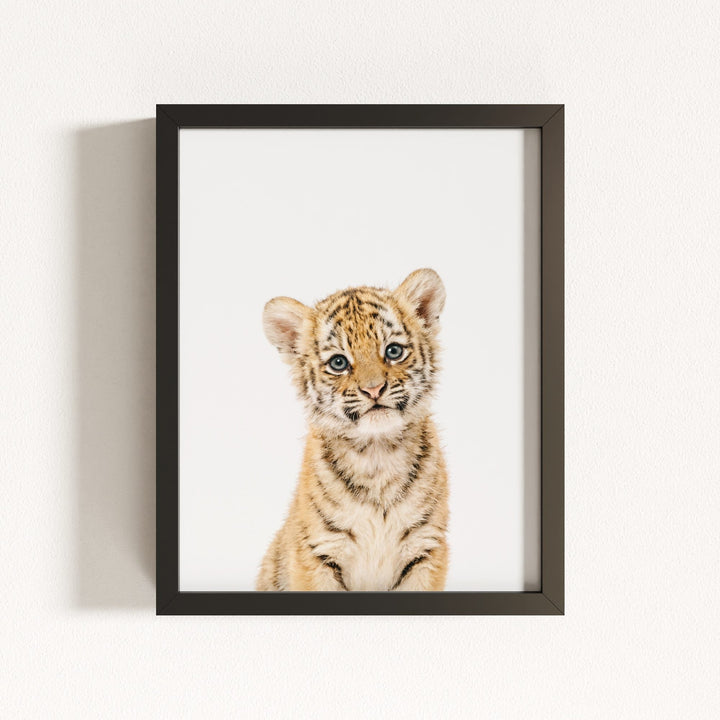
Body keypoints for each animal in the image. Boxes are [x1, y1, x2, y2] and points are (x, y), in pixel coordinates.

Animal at [256, 268, 449, 591]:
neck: (377, 453)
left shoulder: (426, 548)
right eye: (339, 362)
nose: (374, 389)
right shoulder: (317, 552)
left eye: (393, 351)